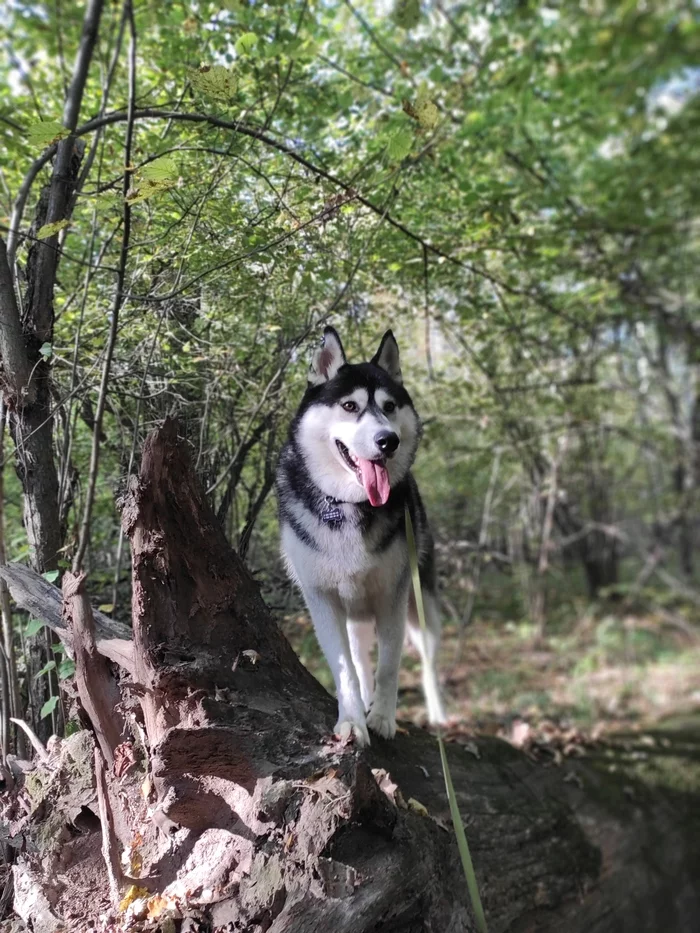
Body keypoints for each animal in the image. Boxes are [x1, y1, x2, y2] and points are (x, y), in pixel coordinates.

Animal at [276, 328, 446, 744]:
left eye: (389, 406)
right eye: (350, 406)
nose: (388, 440)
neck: (349, 505)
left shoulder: (392, 597)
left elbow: (389, 665)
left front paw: (383, 718)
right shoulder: (322, 600)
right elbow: (347, 670)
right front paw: (353, 719)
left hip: (421, 606)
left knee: (428, 661)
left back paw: (436, 713)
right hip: (356, 616)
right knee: (360, 657)